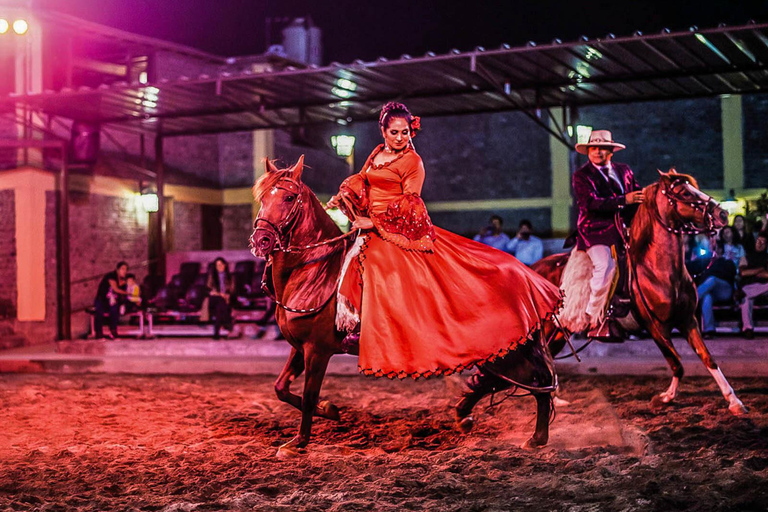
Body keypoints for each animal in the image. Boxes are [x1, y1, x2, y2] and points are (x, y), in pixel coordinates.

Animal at [252, 156, 560, 456]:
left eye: (289, 197)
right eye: (263, 197)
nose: (261, 240)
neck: (317, 271)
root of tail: (529, 277)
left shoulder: (317, 350)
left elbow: (308, 395)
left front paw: (298, 442)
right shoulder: (300, 347)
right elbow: (281, 388)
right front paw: (329, 410)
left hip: (507, 349)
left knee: (538, 380)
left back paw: (536, 438)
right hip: (502, 350)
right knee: (505, 379)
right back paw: (468, 416)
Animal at [532, 171, 748, 416]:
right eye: (684, 192)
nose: (722, 214)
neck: (659, 270)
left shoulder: (687, 320)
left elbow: (708, 359)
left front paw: (734, 401)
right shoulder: (654, 326)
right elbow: (677, 363)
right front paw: (663, 398)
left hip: (560, 332)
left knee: (549, 357)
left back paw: (555, 399)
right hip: (547, 328)